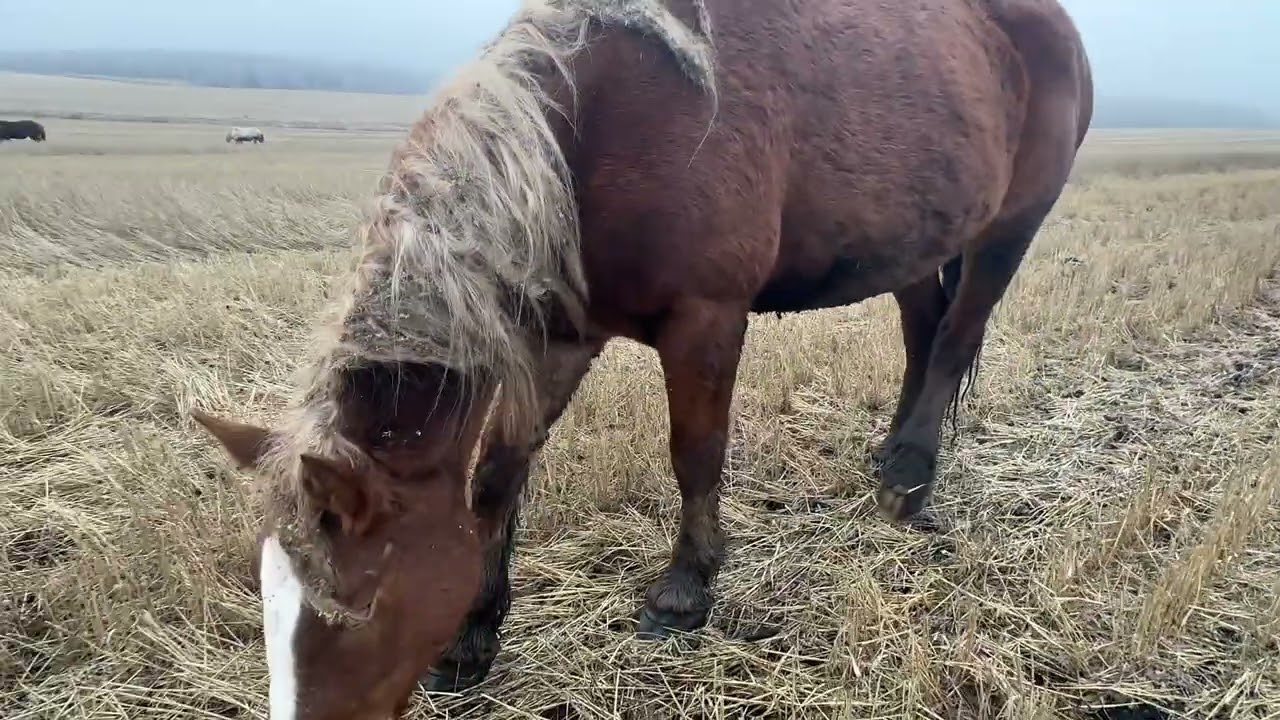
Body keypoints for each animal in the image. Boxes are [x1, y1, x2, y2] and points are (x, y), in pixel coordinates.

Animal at [192, 0, 1094, 716]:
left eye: (357, 603)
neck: (592, 129)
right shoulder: (555, 335)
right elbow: (498, 475)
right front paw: (475, 634)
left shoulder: (706, 320)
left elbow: (695, 454)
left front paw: (685, 591)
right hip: (913, 239)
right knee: (923, 333)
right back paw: (895, 464)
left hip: (1012, 225)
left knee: (955, 339)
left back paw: (909, 477)